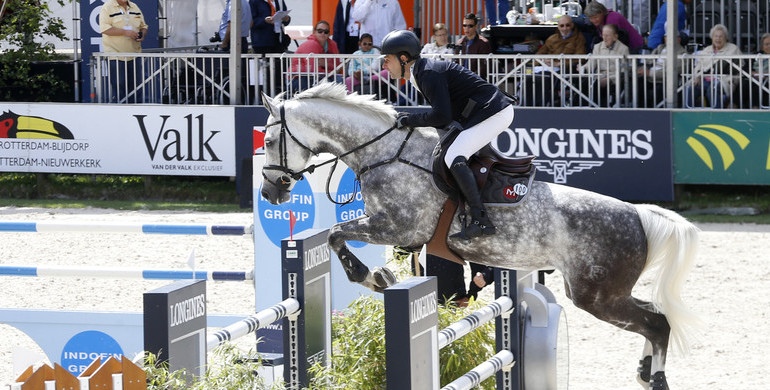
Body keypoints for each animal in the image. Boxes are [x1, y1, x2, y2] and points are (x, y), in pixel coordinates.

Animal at [258, 83, 696, 390]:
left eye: (269, 140)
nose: (270, 193)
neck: (385, 153)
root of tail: (638, 215)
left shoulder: (398, 226)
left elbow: (335, 235)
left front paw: (372, 277)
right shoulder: (397, 231)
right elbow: (337, 235)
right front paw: (379, 276)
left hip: (597, 295)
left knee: (657, 323)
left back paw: (656, 379)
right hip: (607, 293)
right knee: (653, 316)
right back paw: (644, 371)